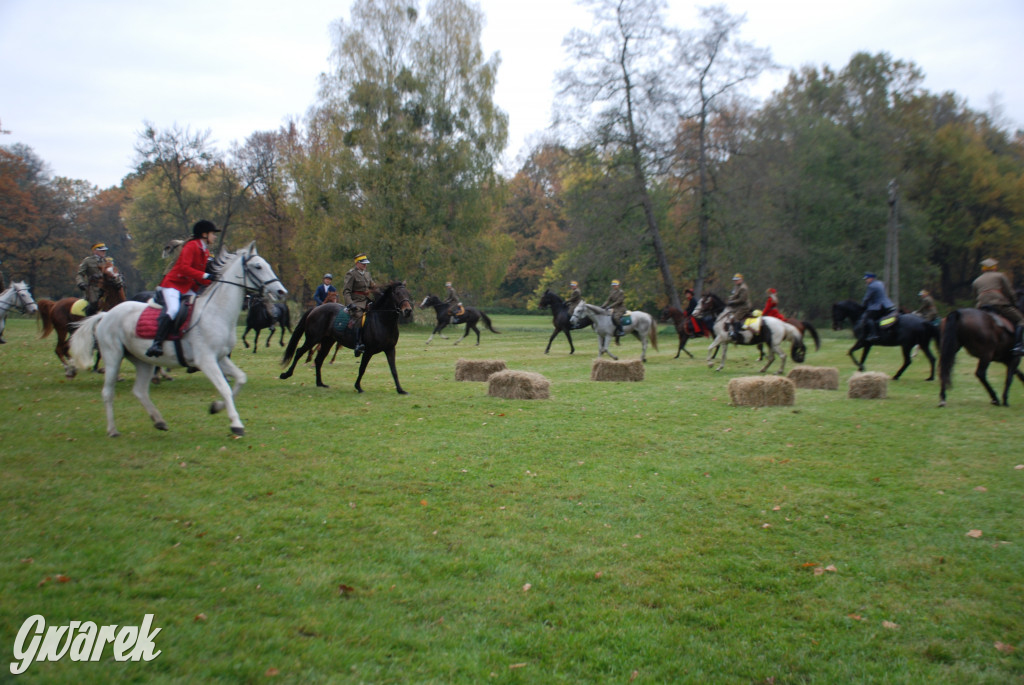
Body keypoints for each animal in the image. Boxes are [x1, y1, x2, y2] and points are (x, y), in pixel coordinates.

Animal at [68, 240, 286, 436]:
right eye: (258, 266)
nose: (281, 291)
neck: (215, 311)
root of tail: (106, 314)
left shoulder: (221, 358)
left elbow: (240, 380)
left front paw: (216, 407)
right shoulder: (206, 360)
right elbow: (224, 387)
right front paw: (236, 424)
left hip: (142, 360)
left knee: (140, 390)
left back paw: (159, 421)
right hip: (113, 356)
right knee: (108, 392)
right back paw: (112, 429)